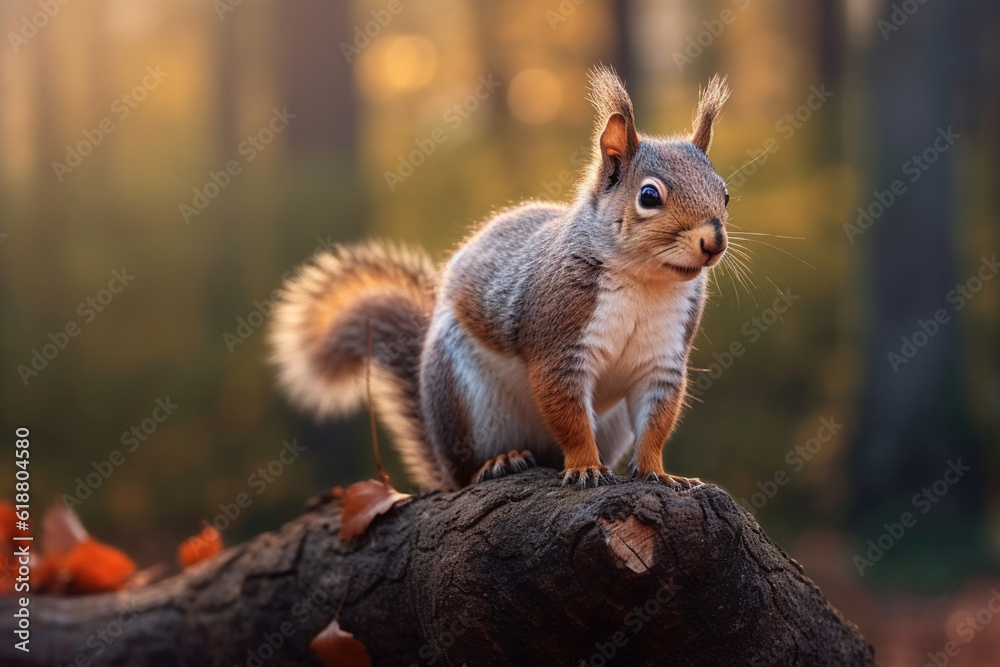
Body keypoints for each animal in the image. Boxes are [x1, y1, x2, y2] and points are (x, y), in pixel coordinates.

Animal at [269, 66, 731, 491]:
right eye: (649, 196)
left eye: (724, 193)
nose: (714, 241)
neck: (643, 282)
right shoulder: (557, 343)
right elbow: (569, 417)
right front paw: (585, 466)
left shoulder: (662, 360)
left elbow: (656, 422)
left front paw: (659, 473)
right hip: (463, 398)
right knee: (468, 470)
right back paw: (498, 462)